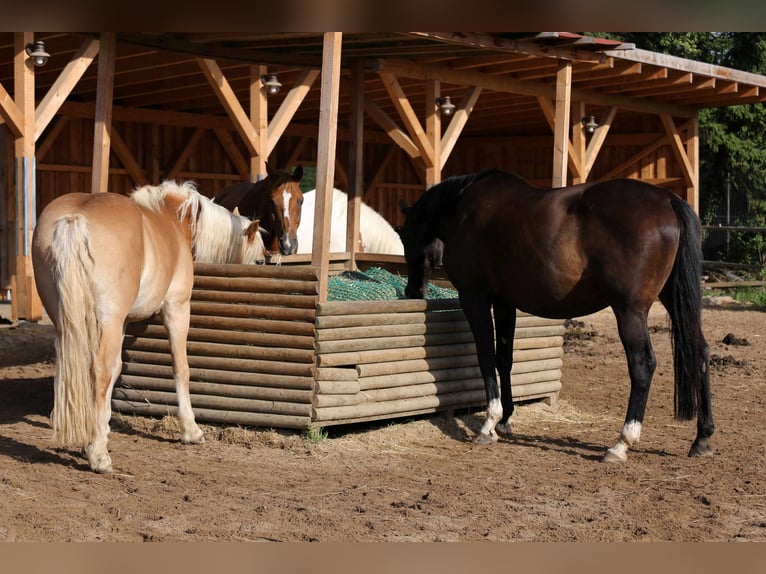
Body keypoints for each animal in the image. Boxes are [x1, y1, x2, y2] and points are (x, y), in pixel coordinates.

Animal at [32, 180, 268, 472]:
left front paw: (102, 428)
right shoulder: (177, 309)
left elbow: (117, 368)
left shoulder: (122, 323)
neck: (173, 219)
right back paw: (99, 455)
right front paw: (191, 430)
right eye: (260, 260)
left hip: (69, 319)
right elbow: (181, 368)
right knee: (98, 371)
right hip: (109, 320)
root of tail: (74, 218)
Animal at [400, 170, 716, 464]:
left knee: (642, 365)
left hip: (630, 312)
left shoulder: (474, 297)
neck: (462, 207)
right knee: (700, 352)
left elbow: (486, 356)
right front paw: (506, 419)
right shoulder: (504, 302)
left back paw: (621, 443)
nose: (411, 290)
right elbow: (504, 358)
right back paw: (702, 438)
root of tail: (668, 200)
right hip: (671, 298)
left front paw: (489, 423)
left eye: (404, 236)